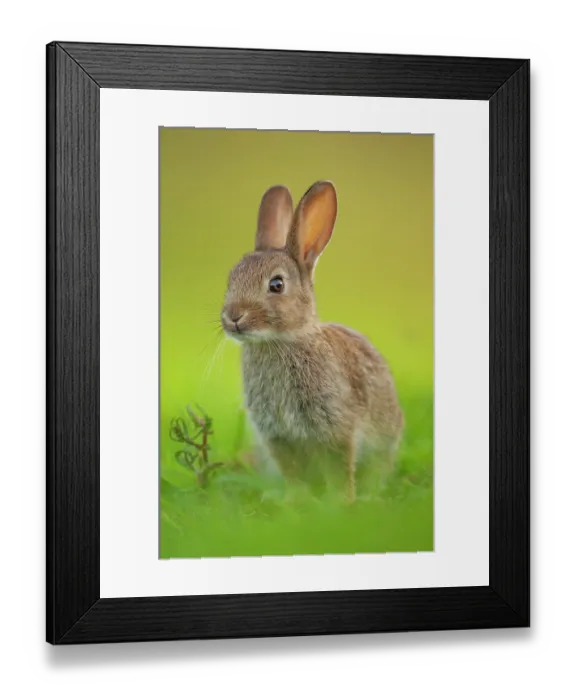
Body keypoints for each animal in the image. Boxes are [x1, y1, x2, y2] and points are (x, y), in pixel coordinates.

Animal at [220, 181, 404, 503]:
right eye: (231, 279)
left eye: (276, 285)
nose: (233, 317)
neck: (281, 341)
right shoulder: (278, 437)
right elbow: (292, 472)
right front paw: (293, 500)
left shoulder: (336, 427)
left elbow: (341, 467)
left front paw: (343, 501)